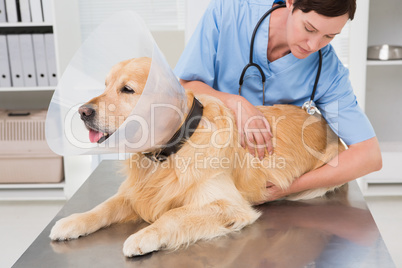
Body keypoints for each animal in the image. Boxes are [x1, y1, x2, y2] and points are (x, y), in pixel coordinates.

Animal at [50, 57, 346, 258]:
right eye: (106, 85)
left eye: (127, 89)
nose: (82, 112)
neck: (174, 148)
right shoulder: (137, 192)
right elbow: (103, 207)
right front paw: (71, 222)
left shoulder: (229, 205)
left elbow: (173, 215)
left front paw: (143, 236)